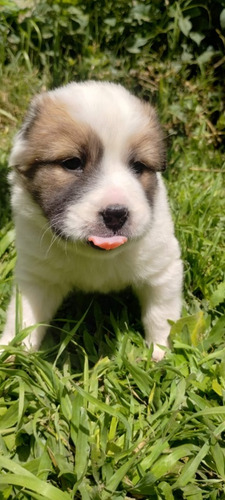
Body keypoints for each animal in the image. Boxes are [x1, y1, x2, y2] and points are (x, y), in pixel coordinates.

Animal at [1, 83, 183, 364]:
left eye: (138, 166)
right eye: (72, 163)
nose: (116, 214)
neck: (96, 258)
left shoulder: (163, 269)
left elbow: (161, 315)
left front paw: (159, 353)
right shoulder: (37, 276)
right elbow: (24, 318)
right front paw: (12, 352)